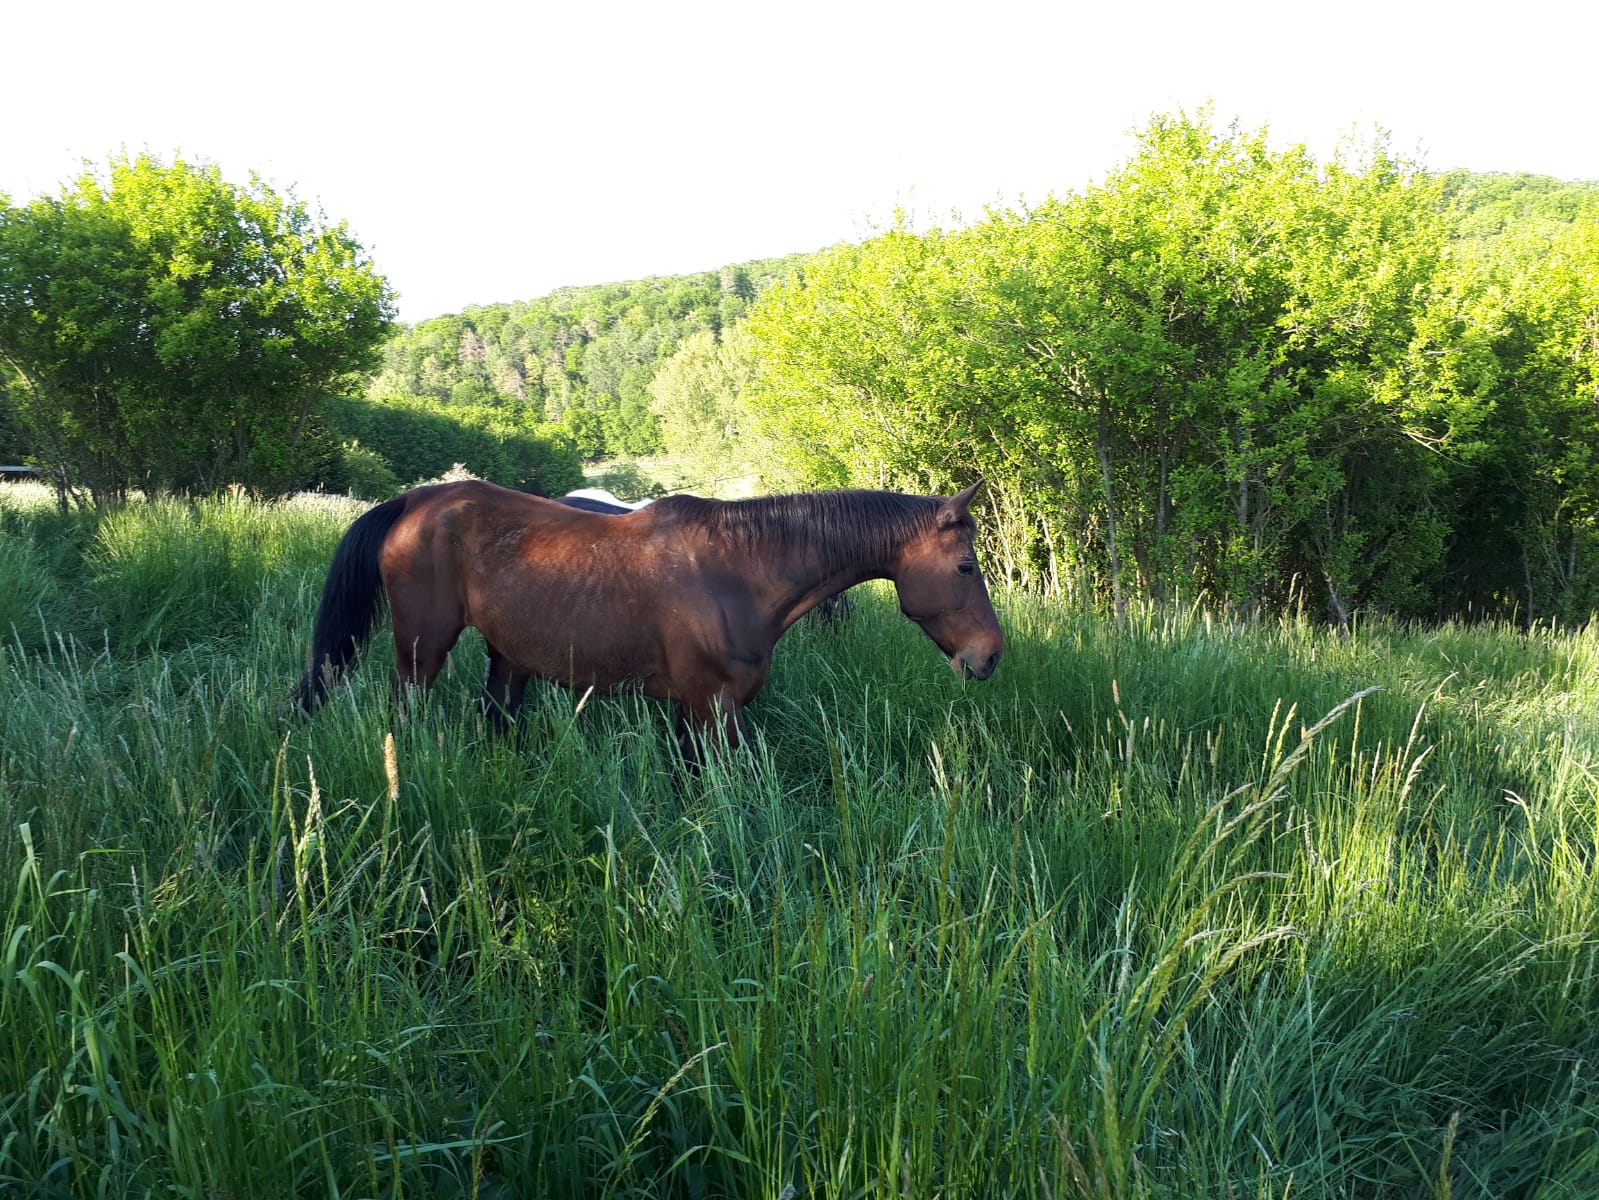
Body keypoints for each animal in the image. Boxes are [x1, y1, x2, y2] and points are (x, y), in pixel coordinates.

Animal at [291, 476, 997, 752]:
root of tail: (417, 500)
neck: (742, 568)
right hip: (422, 649)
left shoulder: (702, 712)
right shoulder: (712, 709)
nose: (990, 657)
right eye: (967, 566)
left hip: (508, 658)